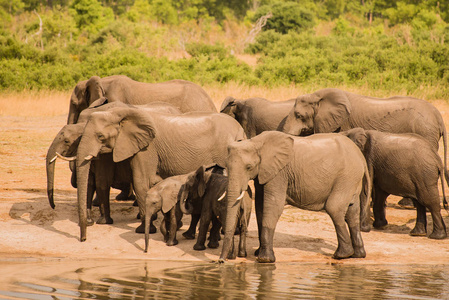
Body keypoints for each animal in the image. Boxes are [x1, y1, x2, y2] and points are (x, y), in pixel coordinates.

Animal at [75, 107, 247, 241]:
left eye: (100, 136)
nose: (83, 238)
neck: (120, 113)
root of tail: (241, 130)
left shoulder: (146, 148)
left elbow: (140, 182)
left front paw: (143, 230)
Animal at [219, 131, 370, 262]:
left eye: (249, 167)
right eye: (226, 166)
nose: (222, 260)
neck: (255, 142)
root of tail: (360, 155)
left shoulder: (279, 173)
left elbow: (273, 205)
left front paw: (264, 259)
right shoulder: (264, 172)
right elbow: (260, 206)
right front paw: (258, 253)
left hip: (346, 177)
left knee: (334, 208)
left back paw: (341, 255)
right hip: (352, 178)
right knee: (352, 211)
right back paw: (358, 255)